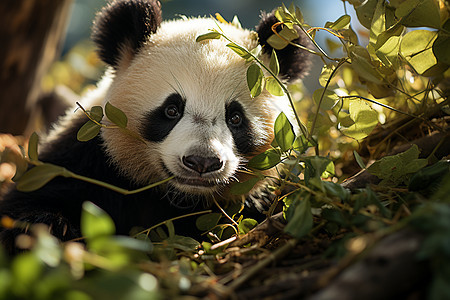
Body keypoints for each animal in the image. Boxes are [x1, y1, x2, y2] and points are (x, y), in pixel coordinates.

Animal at [0, 0, 310, 253]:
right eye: (171, 110)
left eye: (235, 117)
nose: (202, 161)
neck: (179, 197)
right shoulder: (86, 158)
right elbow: (32, 198)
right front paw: (44, 227)